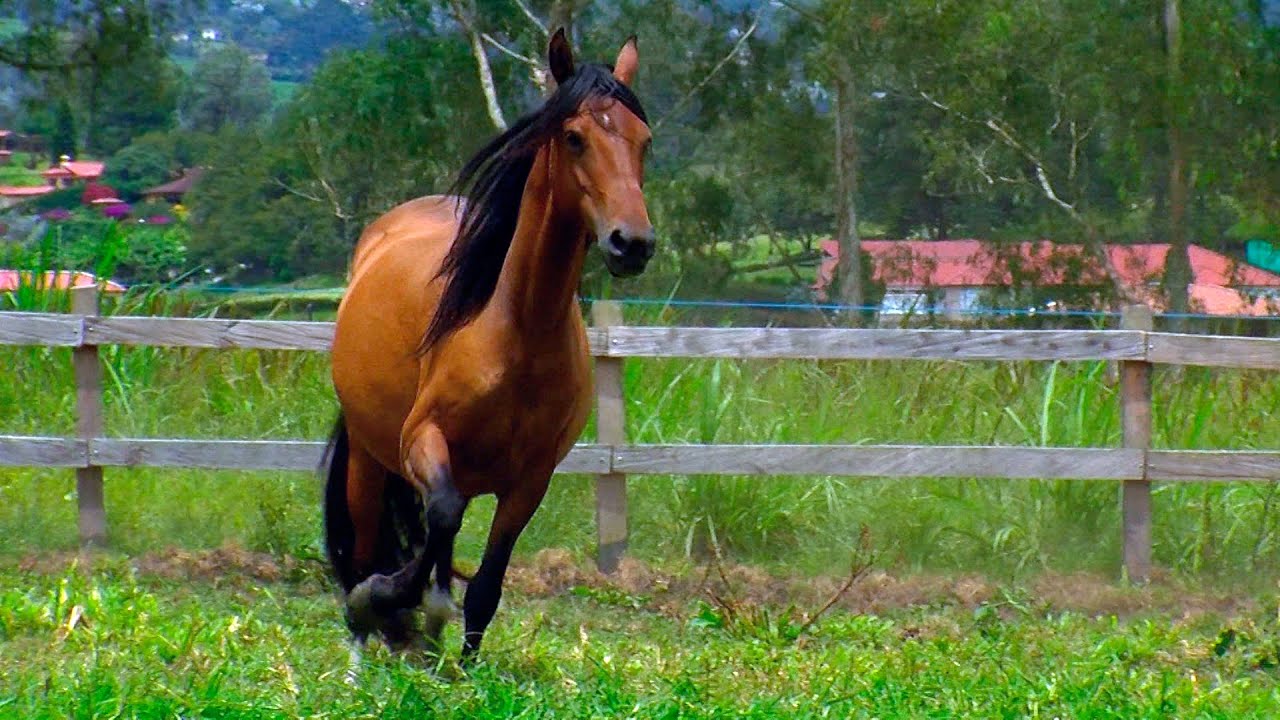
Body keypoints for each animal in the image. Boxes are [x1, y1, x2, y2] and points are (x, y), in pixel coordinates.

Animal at [322, 29, 654, 662]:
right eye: (574, 138)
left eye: (644, 142)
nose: (633, 244)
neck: (518, 333)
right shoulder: (421, 440)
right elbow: (439, 518)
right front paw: (386, 598)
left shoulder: (530, 481)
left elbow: (485, 589)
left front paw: (463, 663)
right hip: (369, 460)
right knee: (369, 550)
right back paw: (362, 637)